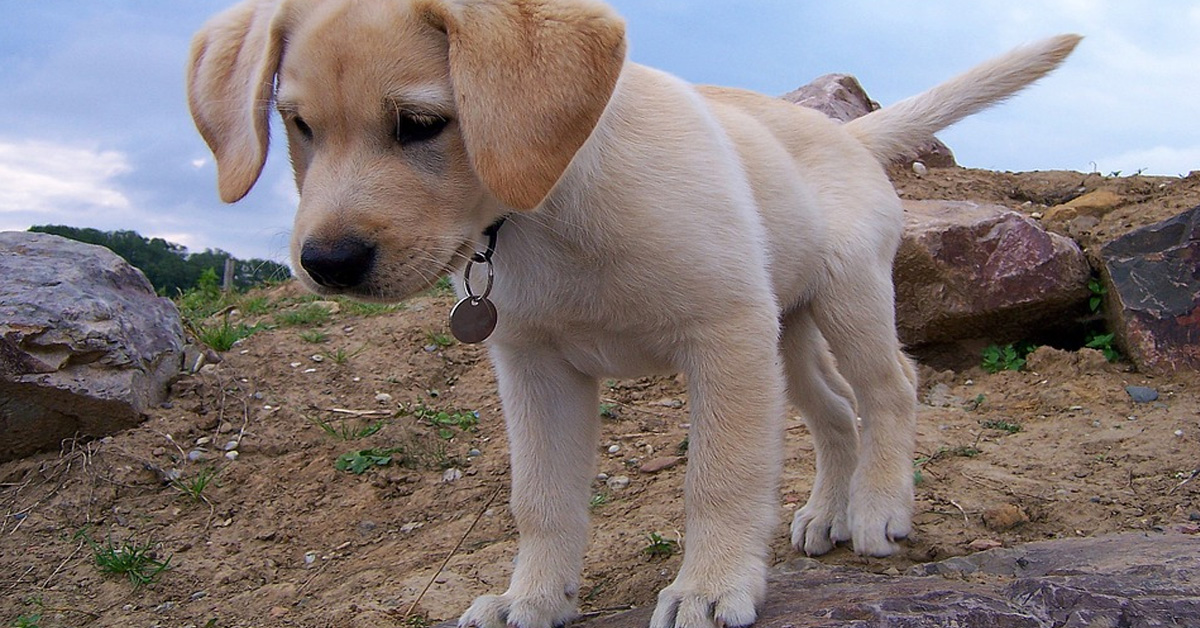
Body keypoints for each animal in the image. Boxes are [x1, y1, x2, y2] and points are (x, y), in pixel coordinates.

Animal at [184, 2, 1080, 624]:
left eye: (421, 124)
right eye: (297, 125)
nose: (327, 263)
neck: (547, 208)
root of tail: (849, 135)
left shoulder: (723, 338)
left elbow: (720, 478)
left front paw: (712, 586)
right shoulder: (535, 370)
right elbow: (540, 499)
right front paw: (531, 599)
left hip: (845, 297)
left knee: (890, 388)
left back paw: (879, 509)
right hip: (784, 333)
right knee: (833, 414)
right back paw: (830, 509)